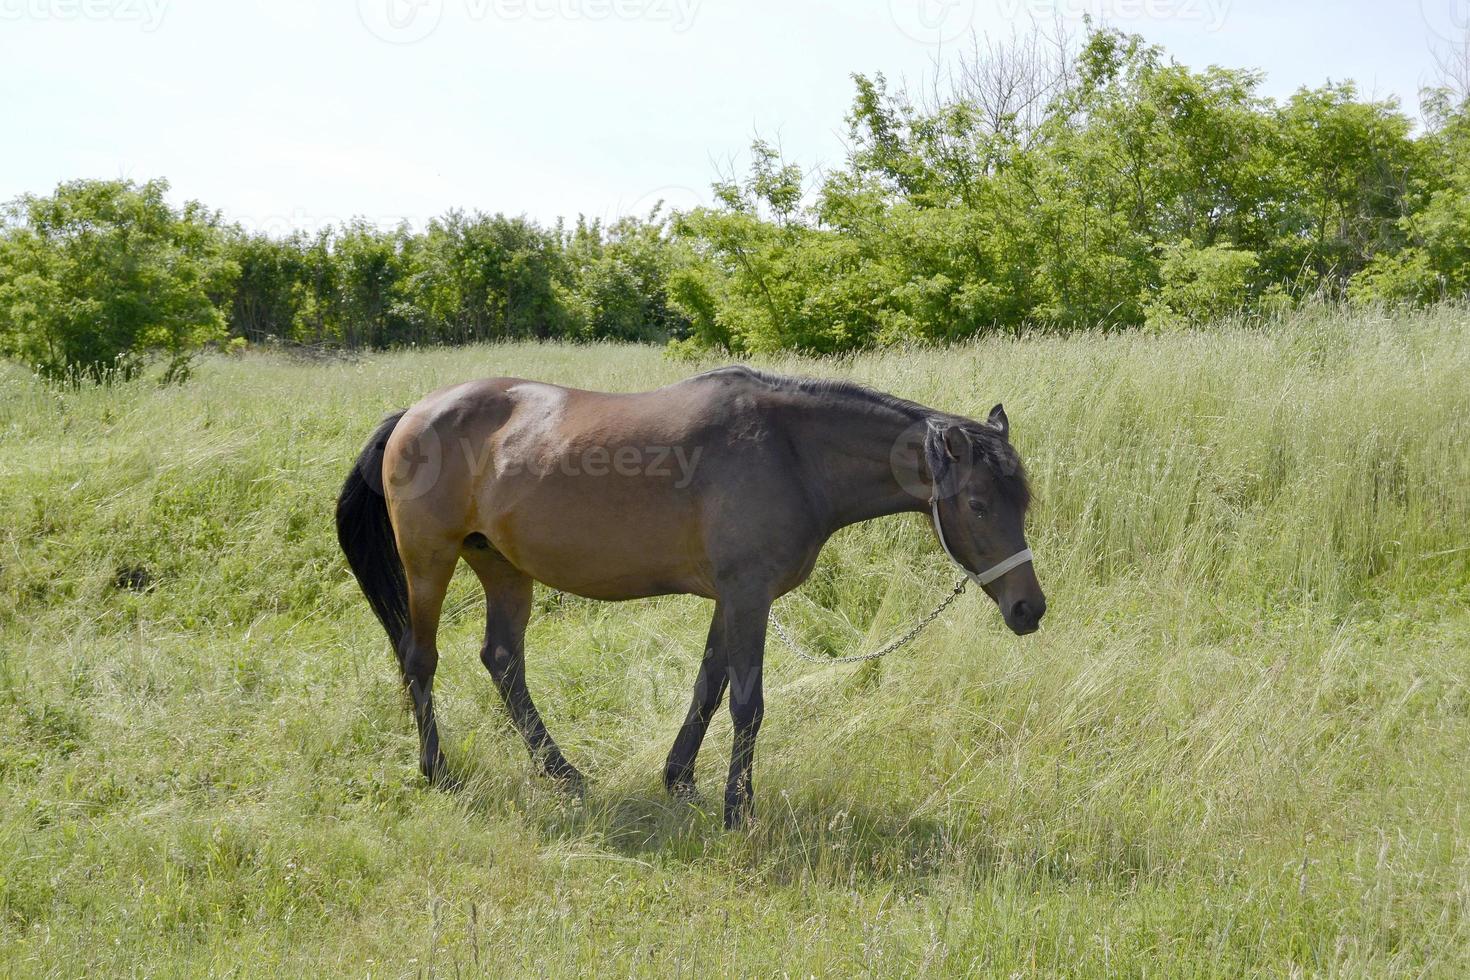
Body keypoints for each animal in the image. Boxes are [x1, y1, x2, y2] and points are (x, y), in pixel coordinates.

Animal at [333, 364, 1046, 822]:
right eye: (978, 504)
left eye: (1024, 501)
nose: (1029, 608)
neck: (790, 452)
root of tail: (414, 415)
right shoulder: (749, 595)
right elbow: (747, 703)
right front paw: (738, 807)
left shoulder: (730, 598)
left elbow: (709, 685)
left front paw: (680, 782)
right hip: (429, 561)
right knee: (421, 658)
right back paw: (437, 770)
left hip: (503, 567)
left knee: (503, 661)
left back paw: (562, 773)